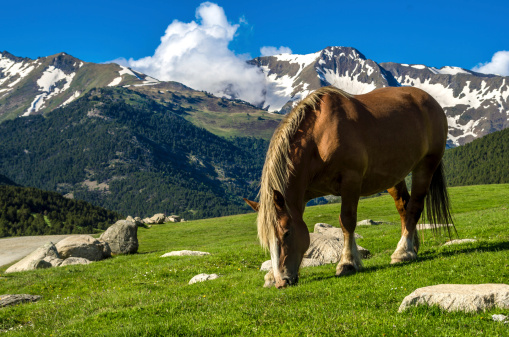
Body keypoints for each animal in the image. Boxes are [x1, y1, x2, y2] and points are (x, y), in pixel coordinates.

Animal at [243, 85, 452, 288]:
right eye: (266, 240)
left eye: (286, 233)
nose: (282, 282)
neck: (320, 137)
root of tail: (430, 101)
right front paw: (271, 275)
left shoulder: (351, 181)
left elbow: (347, 221)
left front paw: (348, 263)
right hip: (394, 176)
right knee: (404, 207)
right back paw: (411, 247)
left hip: (425, 166)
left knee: (414, 207)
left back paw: (403, 252)